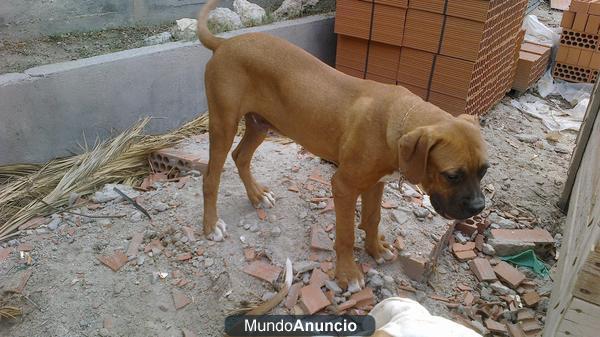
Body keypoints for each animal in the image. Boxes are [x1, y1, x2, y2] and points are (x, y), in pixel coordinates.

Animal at [197, 0, 488, 290]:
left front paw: (375, 249)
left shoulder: (376, 183)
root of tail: (224, 43)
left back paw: (257, 195)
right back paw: (211, 226)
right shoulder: (344, 186)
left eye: (484, 170)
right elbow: (346, 234)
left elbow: (372, 218)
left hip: (260, 124)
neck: (395, 120)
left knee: (241, 156)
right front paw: (348, 273)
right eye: (452, 175)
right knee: (211, 176)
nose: (479, 208)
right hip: (224, 124)